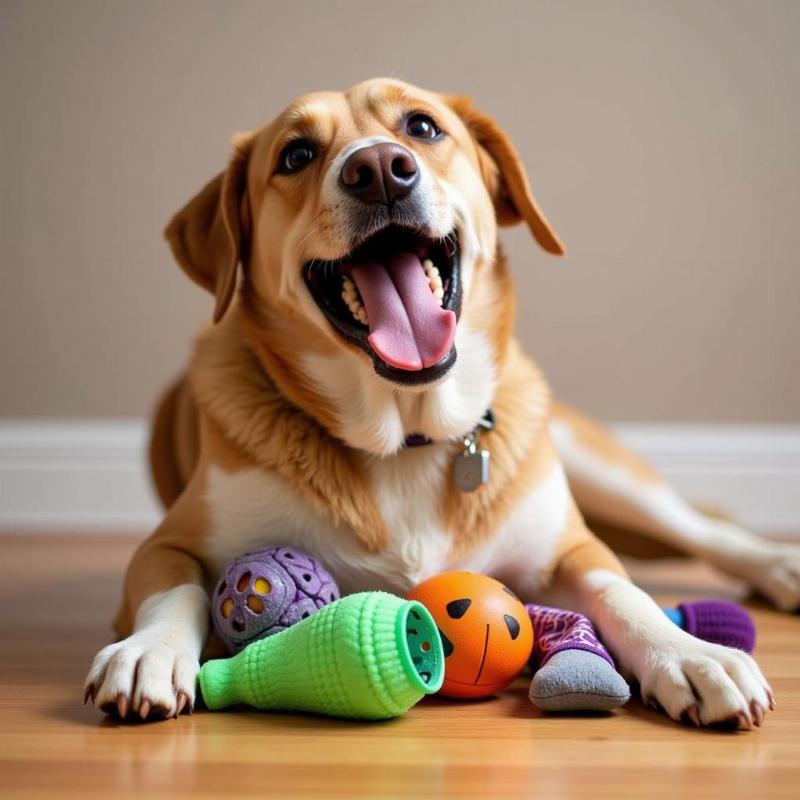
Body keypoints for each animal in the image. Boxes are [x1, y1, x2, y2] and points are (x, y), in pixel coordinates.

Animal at [84, 78, 796, 728]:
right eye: (295, 155)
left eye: (422, 127)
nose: (379, 169)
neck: (406, 432)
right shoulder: (170, 543)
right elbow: (175, 590)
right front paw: (149, 651)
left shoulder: (571, 549)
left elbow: (625, 593)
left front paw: (689, 654)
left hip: (595, 467)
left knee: (703, 526)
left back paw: (779, 566)